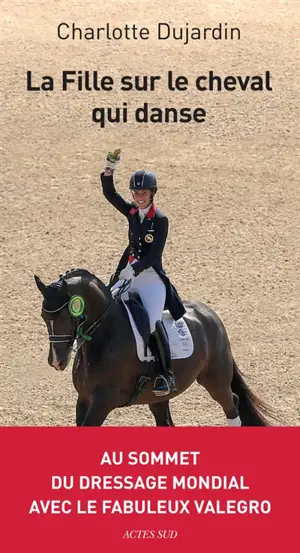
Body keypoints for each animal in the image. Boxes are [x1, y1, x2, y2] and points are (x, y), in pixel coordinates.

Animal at [34, 268, 274, 426]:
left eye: (65, 316)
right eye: (44, 316)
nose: (56, 361)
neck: (105, 334)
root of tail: (210, 315)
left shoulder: (102, 402)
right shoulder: (84, 399)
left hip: (215, 380)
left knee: (231, 403)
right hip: (157, 397)